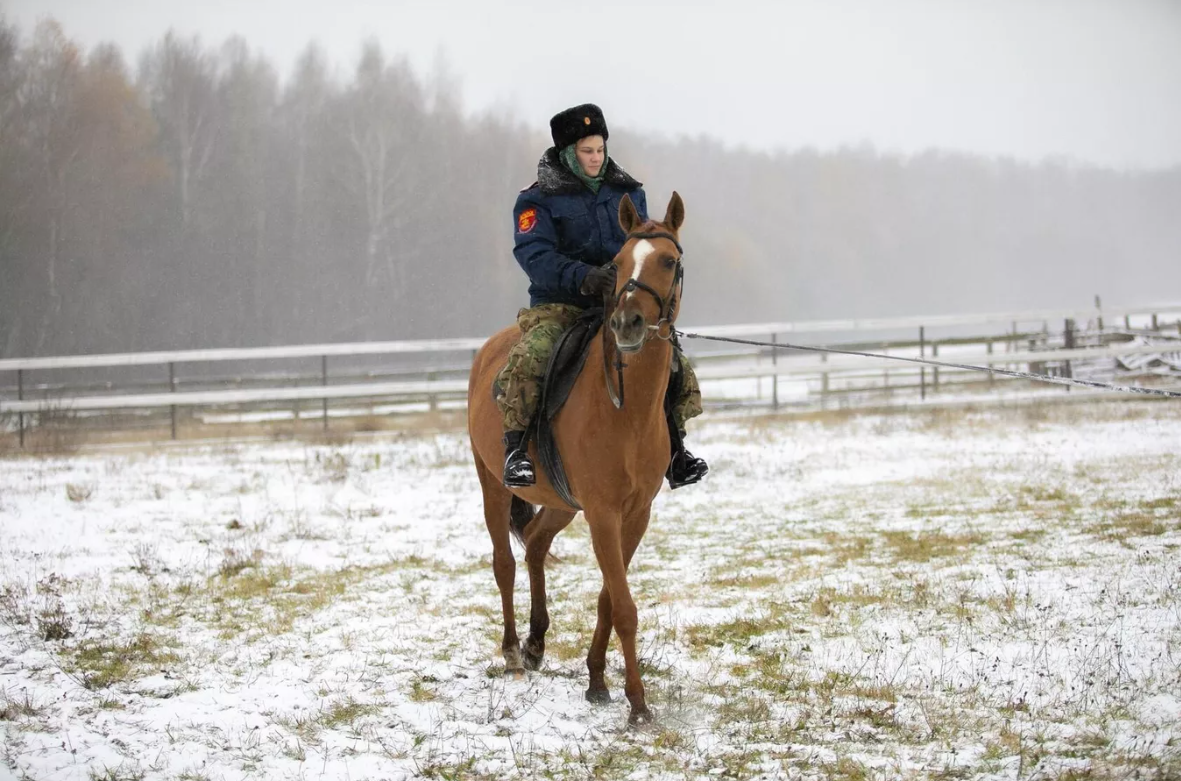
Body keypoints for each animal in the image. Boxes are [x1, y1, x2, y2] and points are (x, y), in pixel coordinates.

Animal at [465, 189, 689, 723]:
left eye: (668, 261)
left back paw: (535, 644)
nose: (627, 323)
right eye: (617, 263)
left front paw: (597, 681)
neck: (626, 409)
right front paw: (637, 704)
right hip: (492, 484)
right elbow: (624, 606)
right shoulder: (603, 513)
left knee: (535, 546)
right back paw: (512, 652)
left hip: (563, 504)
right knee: (504, 562)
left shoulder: (634, 514)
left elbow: (610, 598)